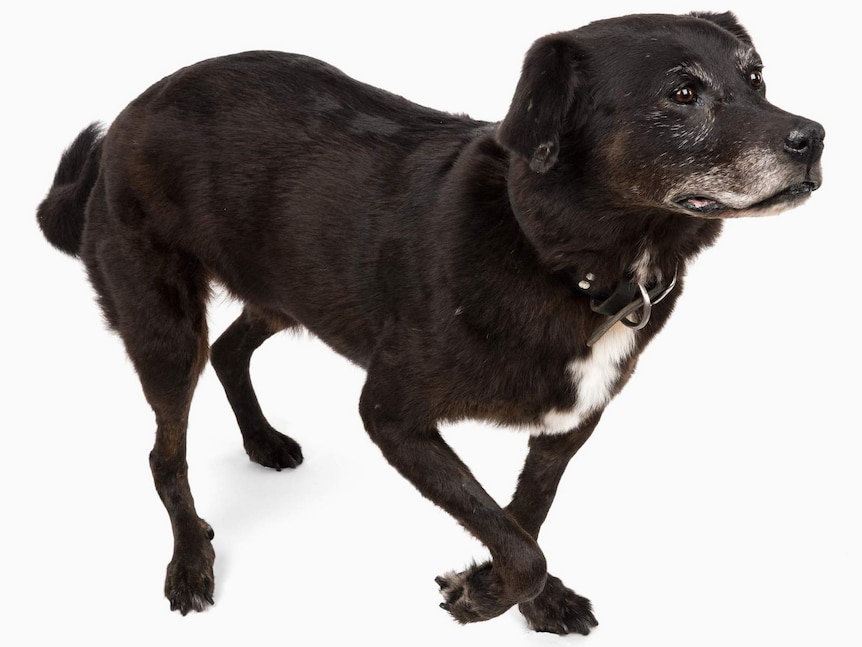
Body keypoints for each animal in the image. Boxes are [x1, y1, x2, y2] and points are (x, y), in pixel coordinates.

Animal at [37, 11, 828, 636]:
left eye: (757, 78)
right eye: (683, 93)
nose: (814, 136)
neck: (554, 254)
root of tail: (133, 109)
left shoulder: (570, 423)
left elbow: (522, 517)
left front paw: (511, 593)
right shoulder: (391, 412)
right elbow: (518, 540)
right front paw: (483, 597)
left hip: (288, 289)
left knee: (233, 350)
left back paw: (263, 441)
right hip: (166, 327)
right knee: (165, 452)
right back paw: (190, 560)